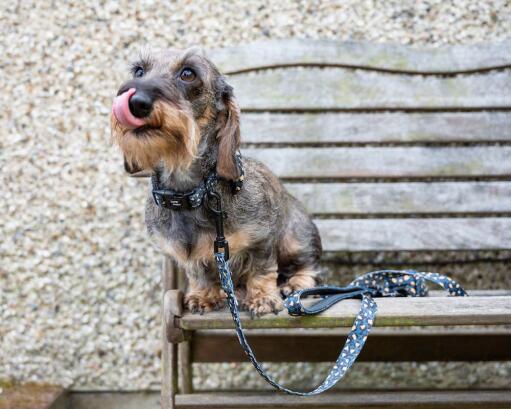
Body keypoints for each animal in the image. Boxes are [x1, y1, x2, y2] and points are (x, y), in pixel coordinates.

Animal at [112, 47, 324, 316]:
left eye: (188, 73)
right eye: (139, 71)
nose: (135, 101)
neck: (191, 194)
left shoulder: (262, 238)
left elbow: (261, 270)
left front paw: (263, 298)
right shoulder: (187, 255)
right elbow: (199, 273)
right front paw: (204, 296)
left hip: (294, 238)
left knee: (308, 265)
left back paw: (296, 283)